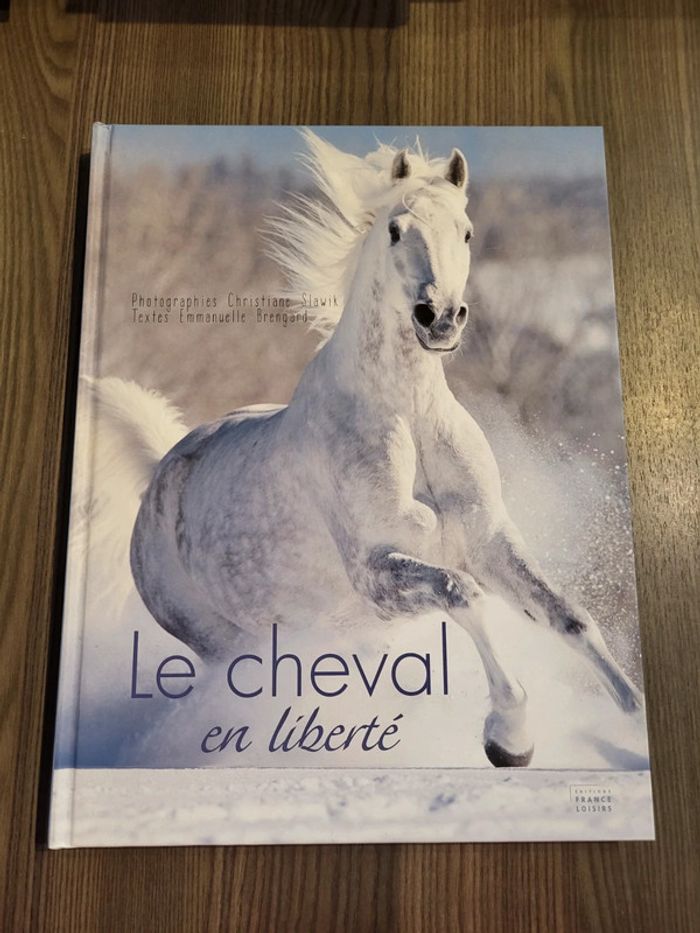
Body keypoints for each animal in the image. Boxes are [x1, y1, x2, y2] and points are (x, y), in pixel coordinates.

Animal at [88, 129, 643, 768]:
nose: (440, 318)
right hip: (231, 640)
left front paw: (634, 725)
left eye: (466, 231)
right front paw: (509, 737)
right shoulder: (375, 570)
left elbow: (568, 617)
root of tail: (159, 472)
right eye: (396, 230)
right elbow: (462, 595)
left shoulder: (487, 539)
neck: (410, 416)